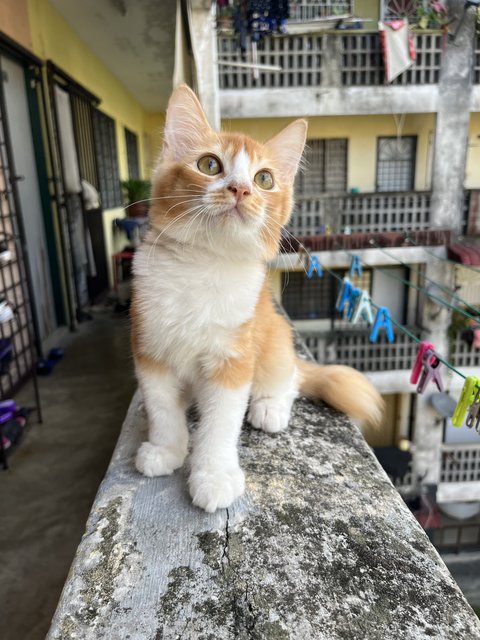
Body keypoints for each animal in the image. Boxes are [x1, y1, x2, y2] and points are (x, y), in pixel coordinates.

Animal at [130, 86, 382, 516]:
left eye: (264, 179)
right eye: (209, 164)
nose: (241, 189)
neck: (203, 265)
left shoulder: (235, 354)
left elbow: (220, 423)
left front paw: (214, 476)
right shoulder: (149, 347)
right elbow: (163, 408)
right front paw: (166, 449)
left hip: (273, 336)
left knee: (290, 378)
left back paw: (270, 407)